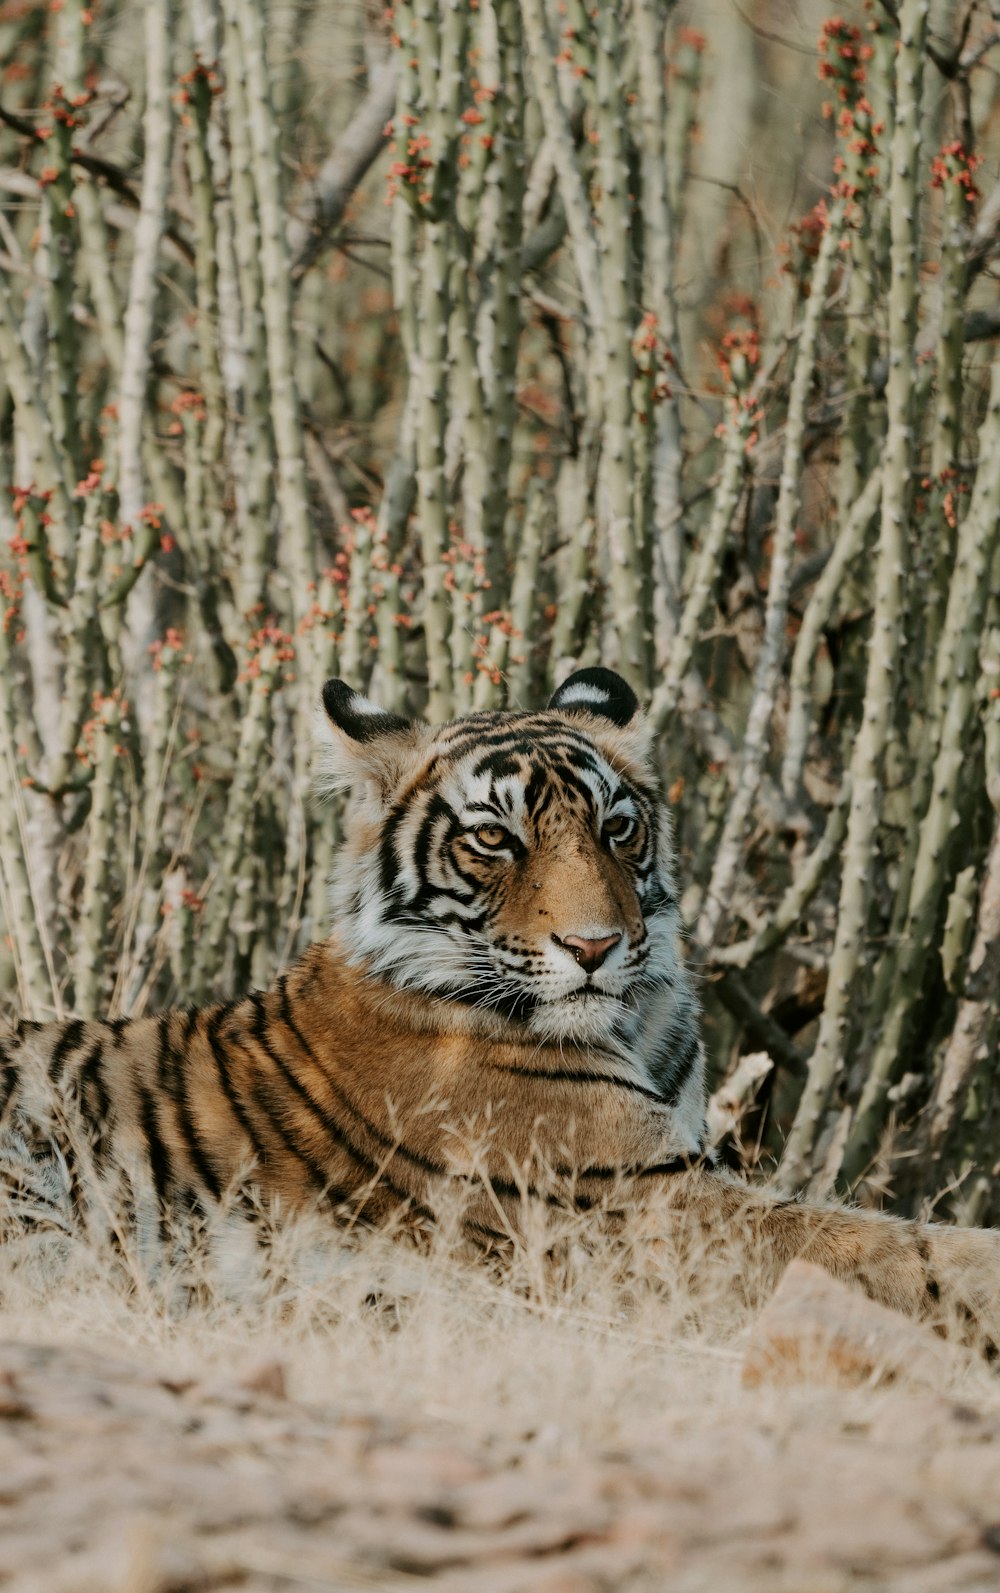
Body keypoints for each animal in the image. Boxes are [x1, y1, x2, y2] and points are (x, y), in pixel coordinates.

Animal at [1, 665, 1000, 1338]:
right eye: (494, 839)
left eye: (617, 827)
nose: (595, 947)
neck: (637, 1022)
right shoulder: (651, 1208)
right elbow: (892, 1249)